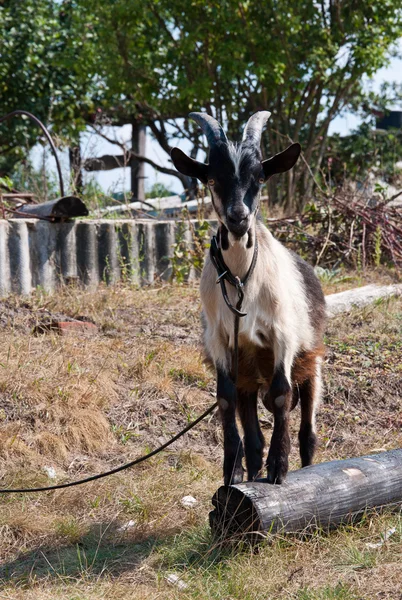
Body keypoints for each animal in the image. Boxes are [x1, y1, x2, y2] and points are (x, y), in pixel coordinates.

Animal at [170, 111, 326, 488]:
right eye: (212, 178)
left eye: (259, 177)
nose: (238, 217)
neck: (243, 278)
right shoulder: (221, 342)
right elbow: (224, 401)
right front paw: (232, 470)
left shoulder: (282, 336)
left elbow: (282, 395)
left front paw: (279, 468)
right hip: (249, 376)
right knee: (253, 432)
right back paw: (252, 468)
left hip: (311, 359)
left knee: (308, 428)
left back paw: (304, 467)